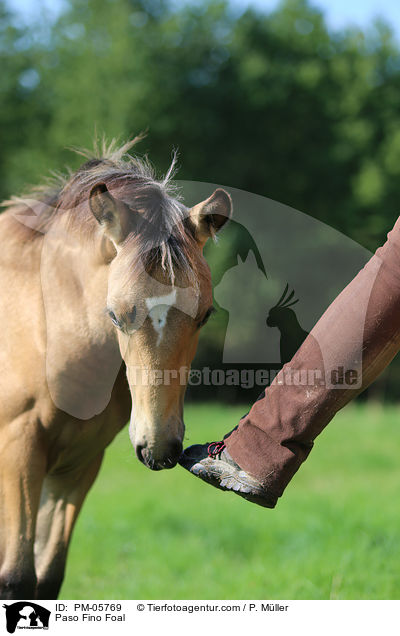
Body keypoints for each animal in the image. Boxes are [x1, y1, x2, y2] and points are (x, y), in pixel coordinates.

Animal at [0, 137, 231, 600]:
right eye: (116, 315)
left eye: (205, 315)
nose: (159, 448)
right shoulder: (18, 453)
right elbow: (17, 578)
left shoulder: (77, 465)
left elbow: (47, 577)